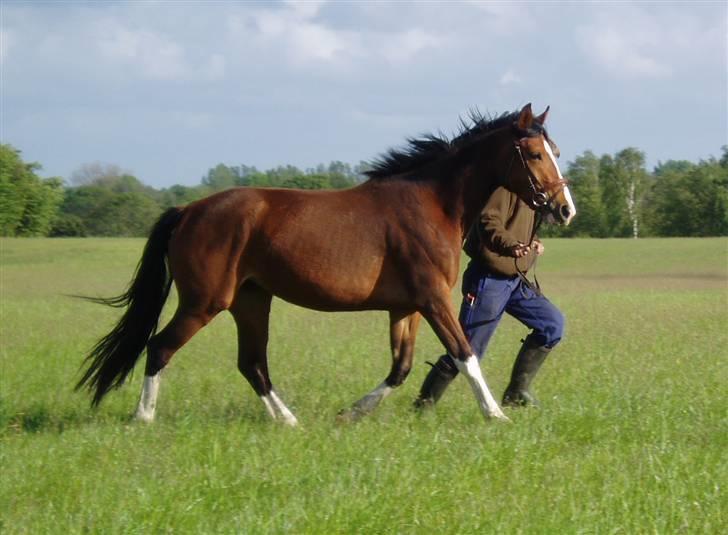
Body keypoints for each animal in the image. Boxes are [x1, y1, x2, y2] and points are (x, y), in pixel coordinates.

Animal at [74, 102, 576, 426]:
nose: (565, 209)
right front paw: (496, 415)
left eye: (556, 152)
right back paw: (143, 418)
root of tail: (188, 211)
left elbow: (402, 368)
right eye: (535, 154)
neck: (432, 203)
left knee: (252, 363)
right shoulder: (434, 300)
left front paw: (350, 413)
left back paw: (289, 422)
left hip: (251, 301)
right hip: (204, 302)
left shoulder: (407, 307)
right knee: (160, 347)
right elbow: (464, 353)